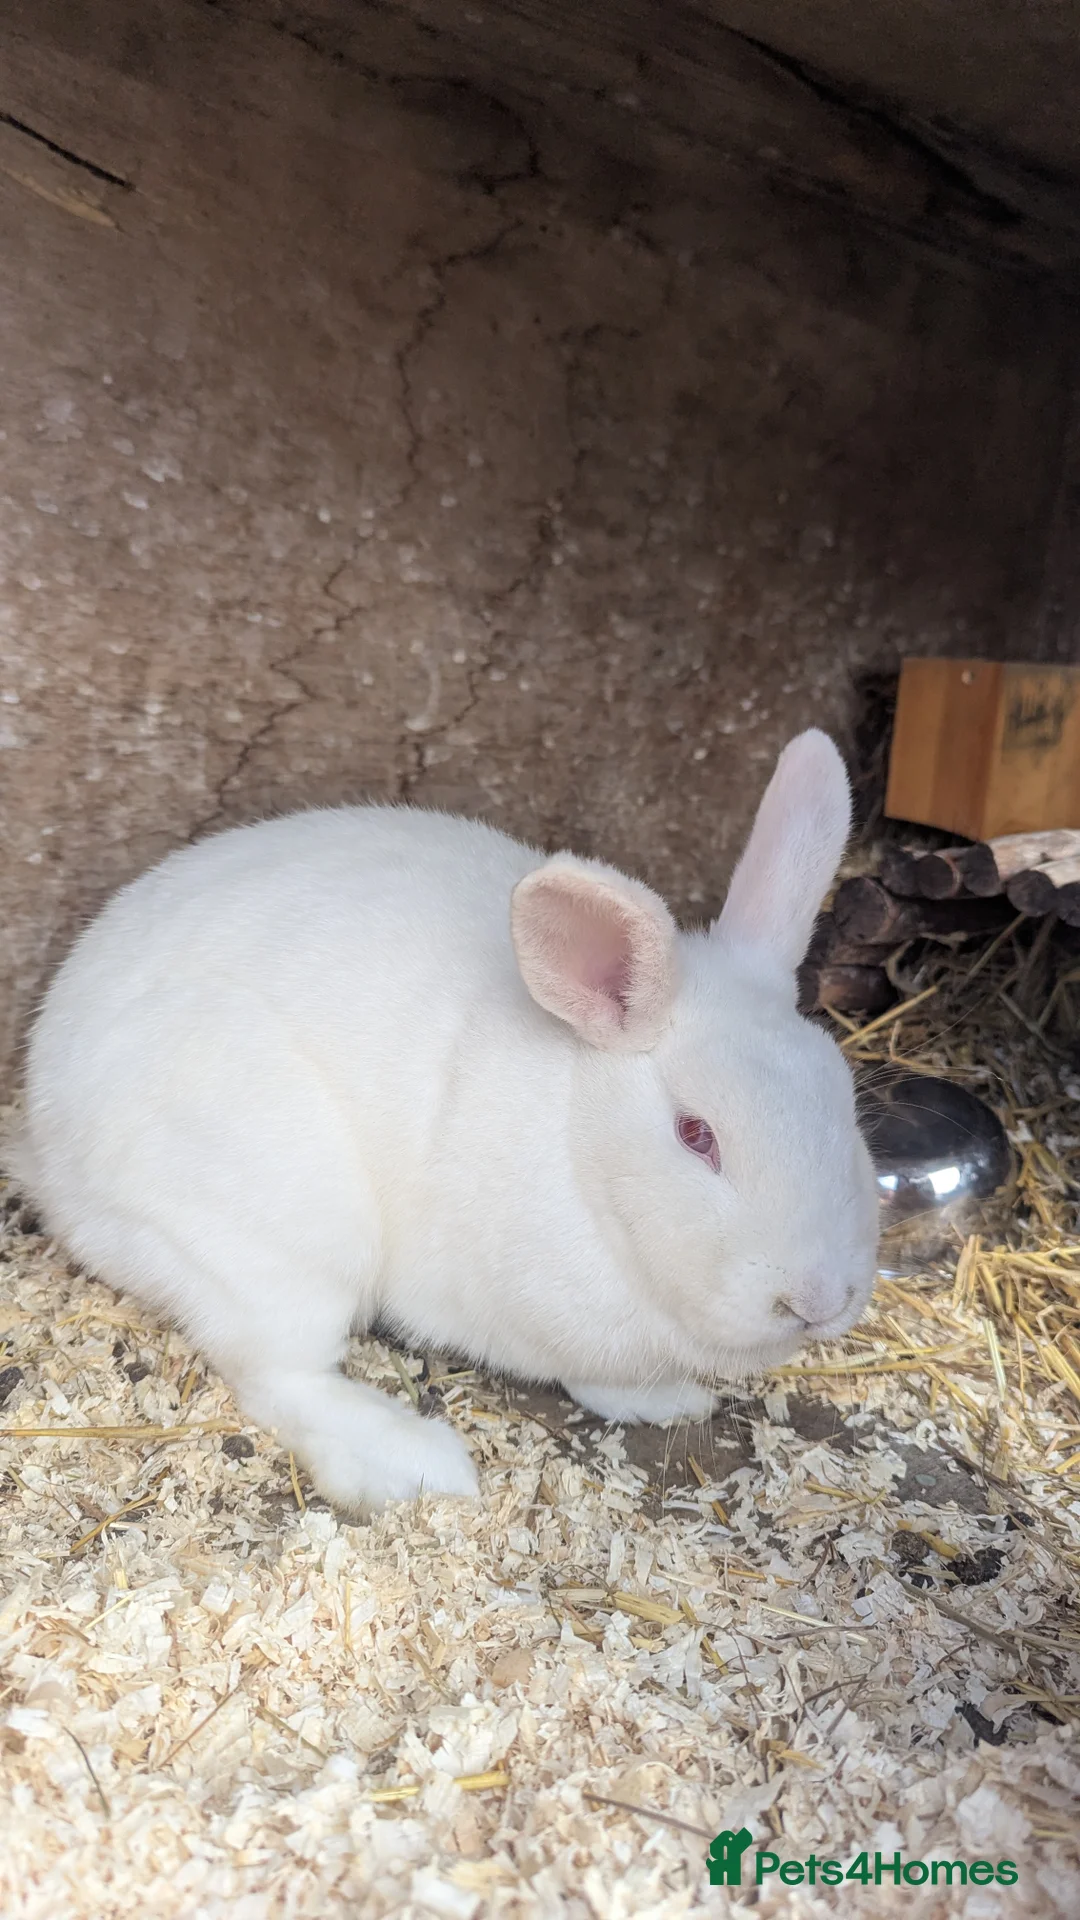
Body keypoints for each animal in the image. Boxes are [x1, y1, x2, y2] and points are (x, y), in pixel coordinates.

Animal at [12, 727, 878, 1513]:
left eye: (846, 1108)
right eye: (697, 1135)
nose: (817, 1300)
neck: (579, 1144)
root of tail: (46, 1142)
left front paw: (670, 1399)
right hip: (274, 1235)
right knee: (278, 1373)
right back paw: (416, 1464)